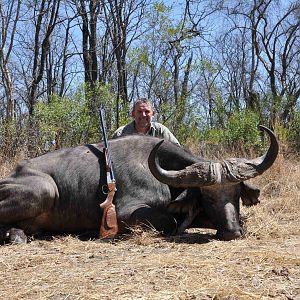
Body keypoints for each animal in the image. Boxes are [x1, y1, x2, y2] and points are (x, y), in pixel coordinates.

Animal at [0, 125, 278, 243]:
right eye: (208, 196)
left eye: (236, 193)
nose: (231, 232)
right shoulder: (129, 213)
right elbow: (171, 222)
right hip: (46, 190)